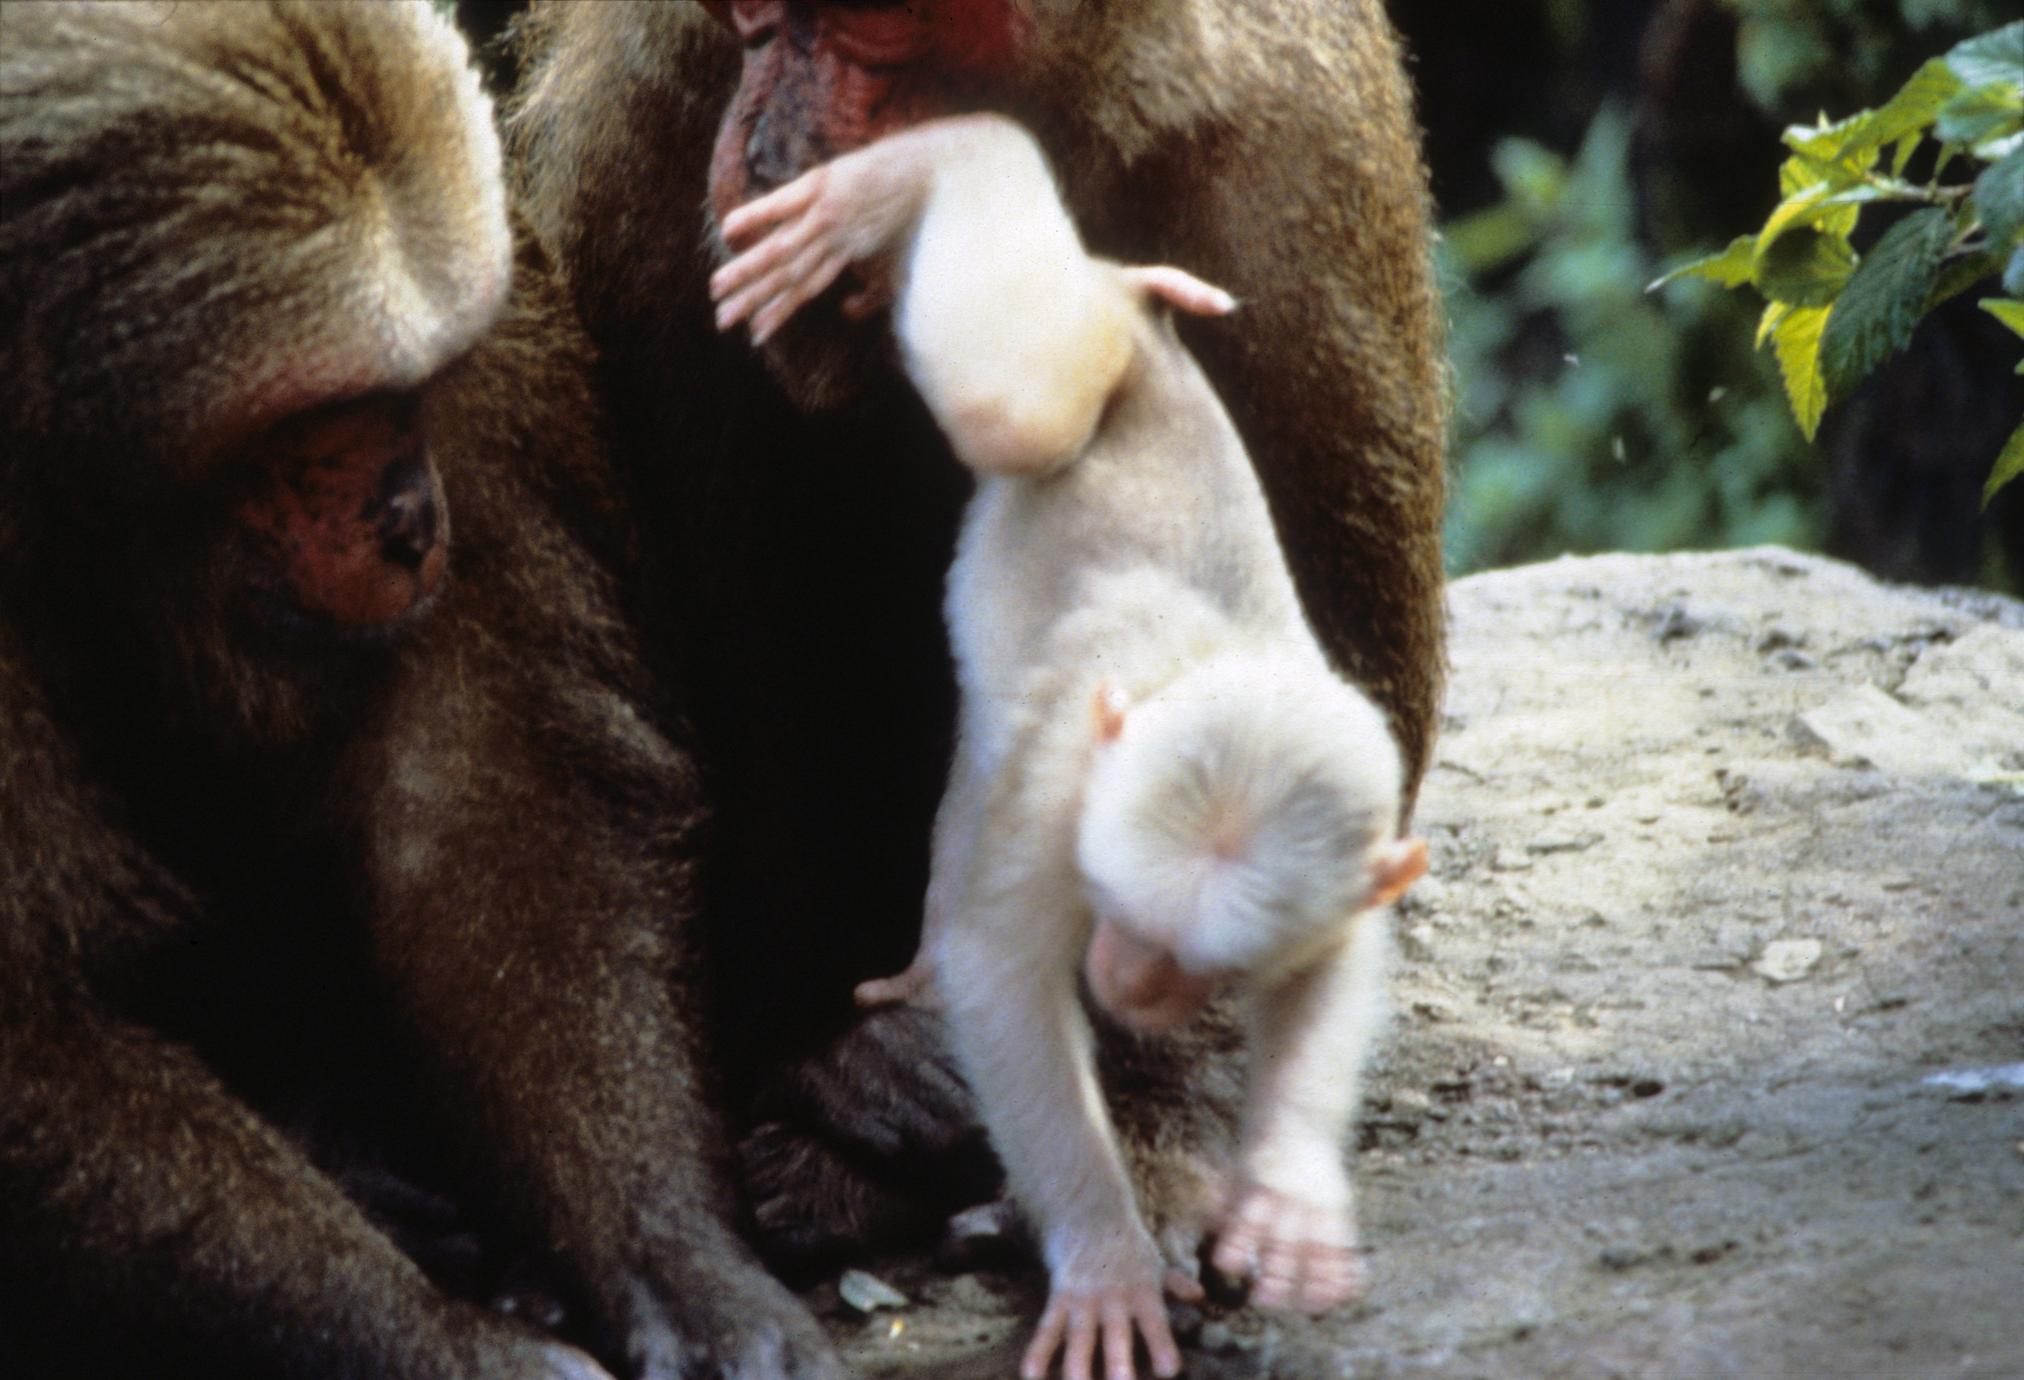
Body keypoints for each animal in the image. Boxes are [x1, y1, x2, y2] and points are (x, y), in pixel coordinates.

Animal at [712, 115, 1424, 1375]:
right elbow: (1006, 981)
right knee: (1016, 396)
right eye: (1121, 913)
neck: (1191, 669)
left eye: (1199, 961)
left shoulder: (1352, 822)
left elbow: (1330, 963)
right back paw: (928, 169)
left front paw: (1284, 1191)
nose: (1130, 985)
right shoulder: (1066, 792)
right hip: (1068, 369)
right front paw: (1102, 1257)